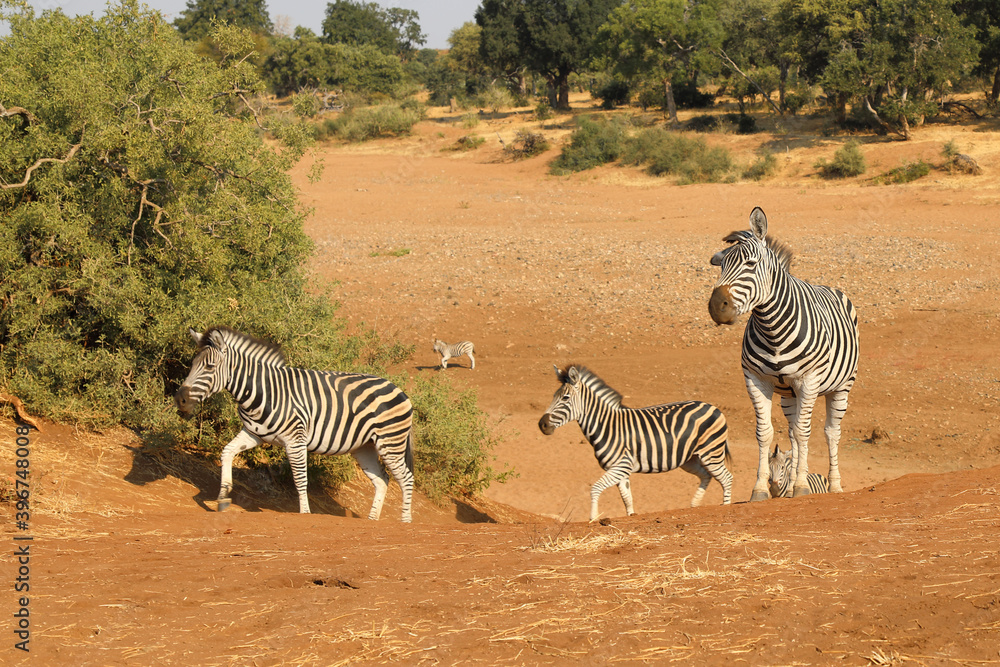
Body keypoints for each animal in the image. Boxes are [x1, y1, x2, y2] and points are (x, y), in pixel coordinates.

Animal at [174, 326, 415, 522]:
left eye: (210, 367)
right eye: (192, 365)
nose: (180, 399)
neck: (263, 391)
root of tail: (399, 389)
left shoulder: (295, 440)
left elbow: (300, 479)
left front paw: (305, 514)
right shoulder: (254, 434)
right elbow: (227, 452)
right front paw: (223, 497)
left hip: (390, 443)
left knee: (406, 478)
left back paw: (405, 522)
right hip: (364, 447)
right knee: (382, 480)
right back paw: (372, 520)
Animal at [538, 365, 733, 521]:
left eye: (565, 398)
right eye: (554, 396)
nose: (542, 425)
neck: (607, 425)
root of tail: (713, 407)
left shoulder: (621, 465)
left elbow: (595, 488)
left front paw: (593, 518)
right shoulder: (621, 470)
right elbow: (627, 498)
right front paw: (631, 515)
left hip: (711, 453)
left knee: (726, 477)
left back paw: (726, 507)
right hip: (690, 459)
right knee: (706, 475)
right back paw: (694, 505)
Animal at [708, 207, 859, 501]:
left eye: (751, 264)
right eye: (721, 266)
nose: (716, 307)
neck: (772, 328)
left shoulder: (808, 380)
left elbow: (805, 432)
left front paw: (801, 486)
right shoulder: (756, 380)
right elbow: (765, 433)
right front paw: (760, 489)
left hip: (841, 386)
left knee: (830, 432)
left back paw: (834, 486)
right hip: (789, 395)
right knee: (791, 431)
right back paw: (788, 488)